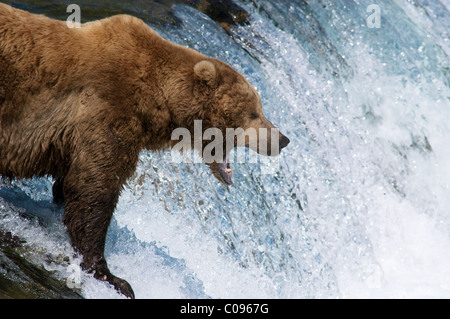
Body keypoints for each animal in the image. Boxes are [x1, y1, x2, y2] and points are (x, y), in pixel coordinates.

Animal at [0, 3, 290, 298]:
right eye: (254, 112)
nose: (282, 139)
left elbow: (73, 183)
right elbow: (94, 188)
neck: (159, 101)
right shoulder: (108, 109)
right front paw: (111, 275)